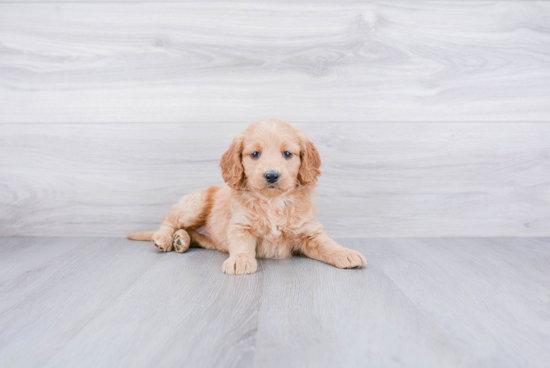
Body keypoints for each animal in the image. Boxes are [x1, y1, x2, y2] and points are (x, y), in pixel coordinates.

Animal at [128, 119, 368, 274]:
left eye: (287, 154)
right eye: (254, 154)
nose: (271, 175)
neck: (273, 201)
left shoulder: (309, 232)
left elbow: (328, 244)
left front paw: (346, 253)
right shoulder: (240, 226)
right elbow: (242, 245)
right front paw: (240, 261)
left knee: (192, 234)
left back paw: (181, 241)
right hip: (195, 204)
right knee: (169, 220)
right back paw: (164, 238)